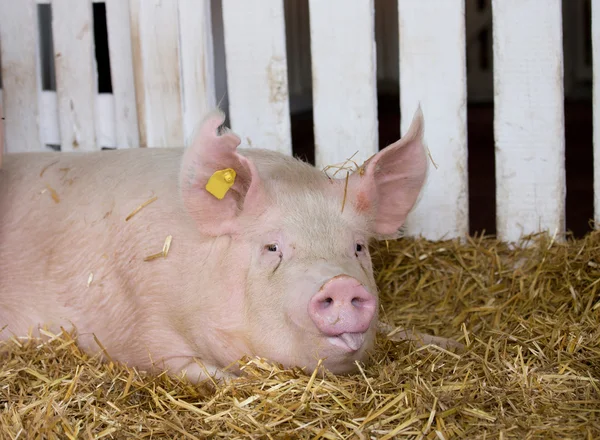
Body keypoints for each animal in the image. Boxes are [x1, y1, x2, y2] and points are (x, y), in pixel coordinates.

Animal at [0, 107, 426, 382]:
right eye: (272, 248)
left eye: (358, 248)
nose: (341, 283)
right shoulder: (138, 327)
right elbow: (200, 371)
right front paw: (237, 379)